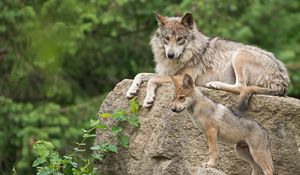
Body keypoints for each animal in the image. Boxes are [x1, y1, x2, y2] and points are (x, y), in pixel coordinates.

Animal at [126, 11, 288, 108]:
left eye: (179, 39)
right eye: (166, 38)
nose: (170, 55)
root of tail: (283, 82)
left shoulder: (182, 77)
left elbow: (152, 80)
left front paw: (148, 98)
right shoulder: (167, 74)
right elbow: (140, 74)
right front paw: (132, 90)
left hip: (239, 54)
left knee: (241, 87)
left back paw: (215, 84)